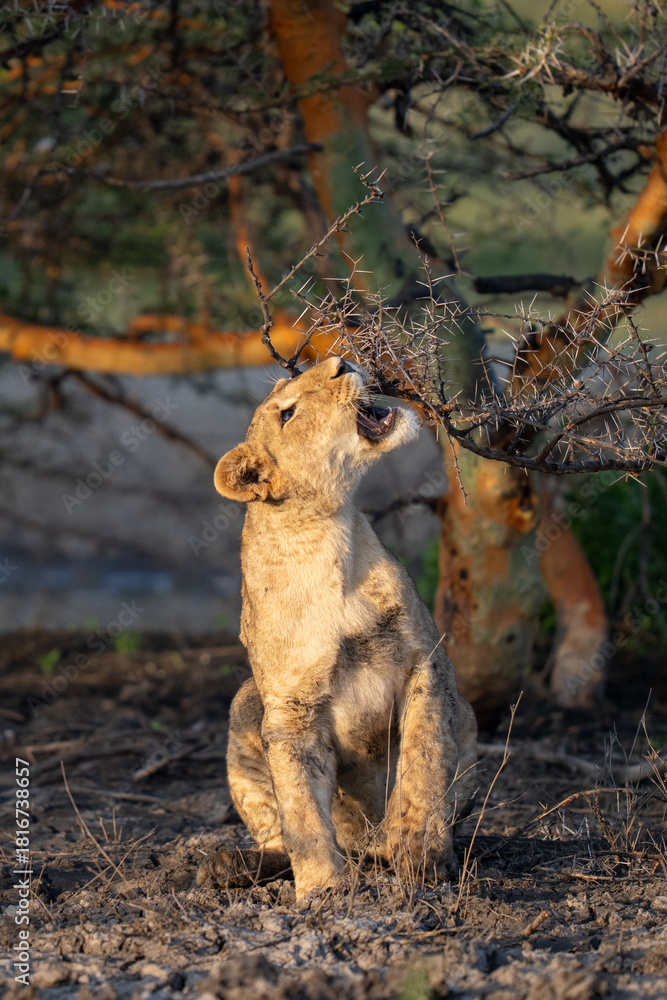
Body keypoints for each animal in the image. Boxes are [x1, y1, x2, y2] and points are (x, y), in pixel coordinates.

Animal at [198, 356, 477, 900]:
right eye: (287, 413)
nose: (340, 361)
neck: (330, 534)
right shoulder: (290, 710)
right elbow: (302, 809)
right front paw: (324, 890)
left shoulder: (426, 662)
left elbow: (424, 762)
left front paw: (420, 855)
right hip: (245, 705)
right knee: (277, 838)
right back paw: (228, 865)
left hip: (469, 715)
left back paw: (387, 846)